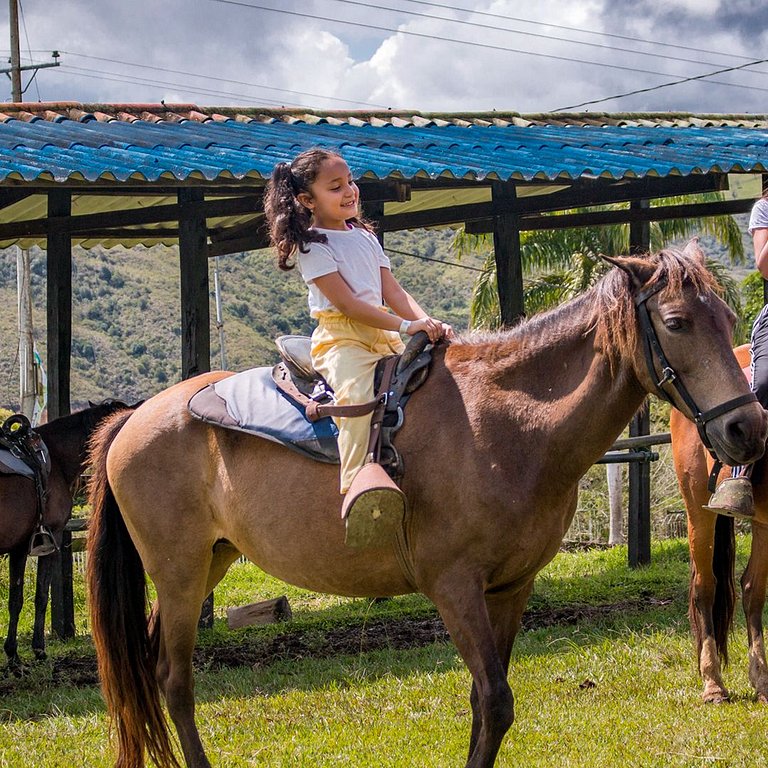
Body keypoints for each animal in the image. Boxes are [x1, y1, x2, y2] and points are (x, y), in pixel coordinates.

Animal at [0, 400, 130, 668]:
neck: (56, 460)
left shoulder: (19, 547)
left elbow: (16, 600)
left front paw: (13, 653)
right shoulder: (52, 537)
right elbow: (40, 595)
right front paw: (37, 649)